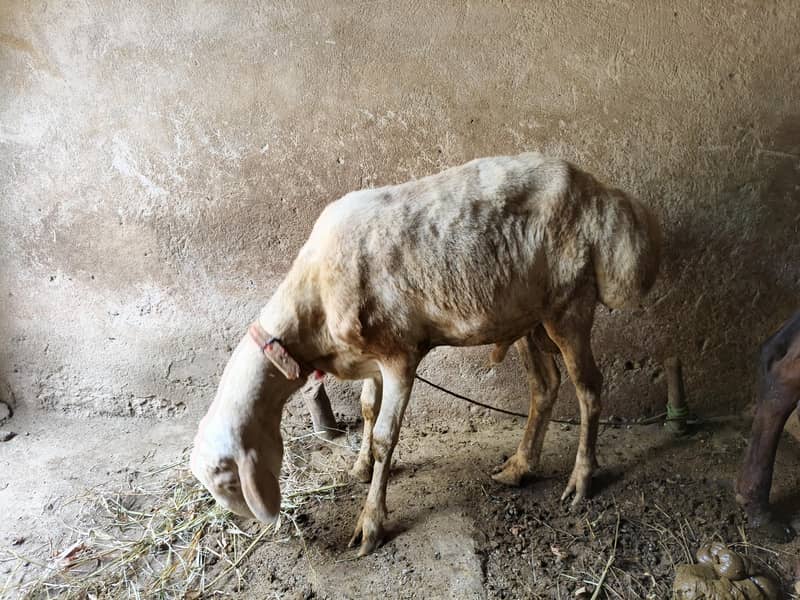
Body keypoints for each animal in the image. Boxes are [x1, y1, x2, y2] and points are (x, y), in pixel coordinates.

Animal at [190, 152, 661, 556]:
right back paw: (520, 467)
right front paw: (360, 467)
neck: (312, 305)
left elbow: (386, 435)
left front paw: (370, 522)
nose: (246, 521)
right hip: (528, 314)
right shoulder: (369, 359)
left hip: (570, 304)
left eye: (226, 481)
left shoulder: (399, 355)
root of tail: (604, 196)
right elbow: (367, 407)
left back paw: (581, 480)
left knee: (589, 389)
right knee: (545, 385)